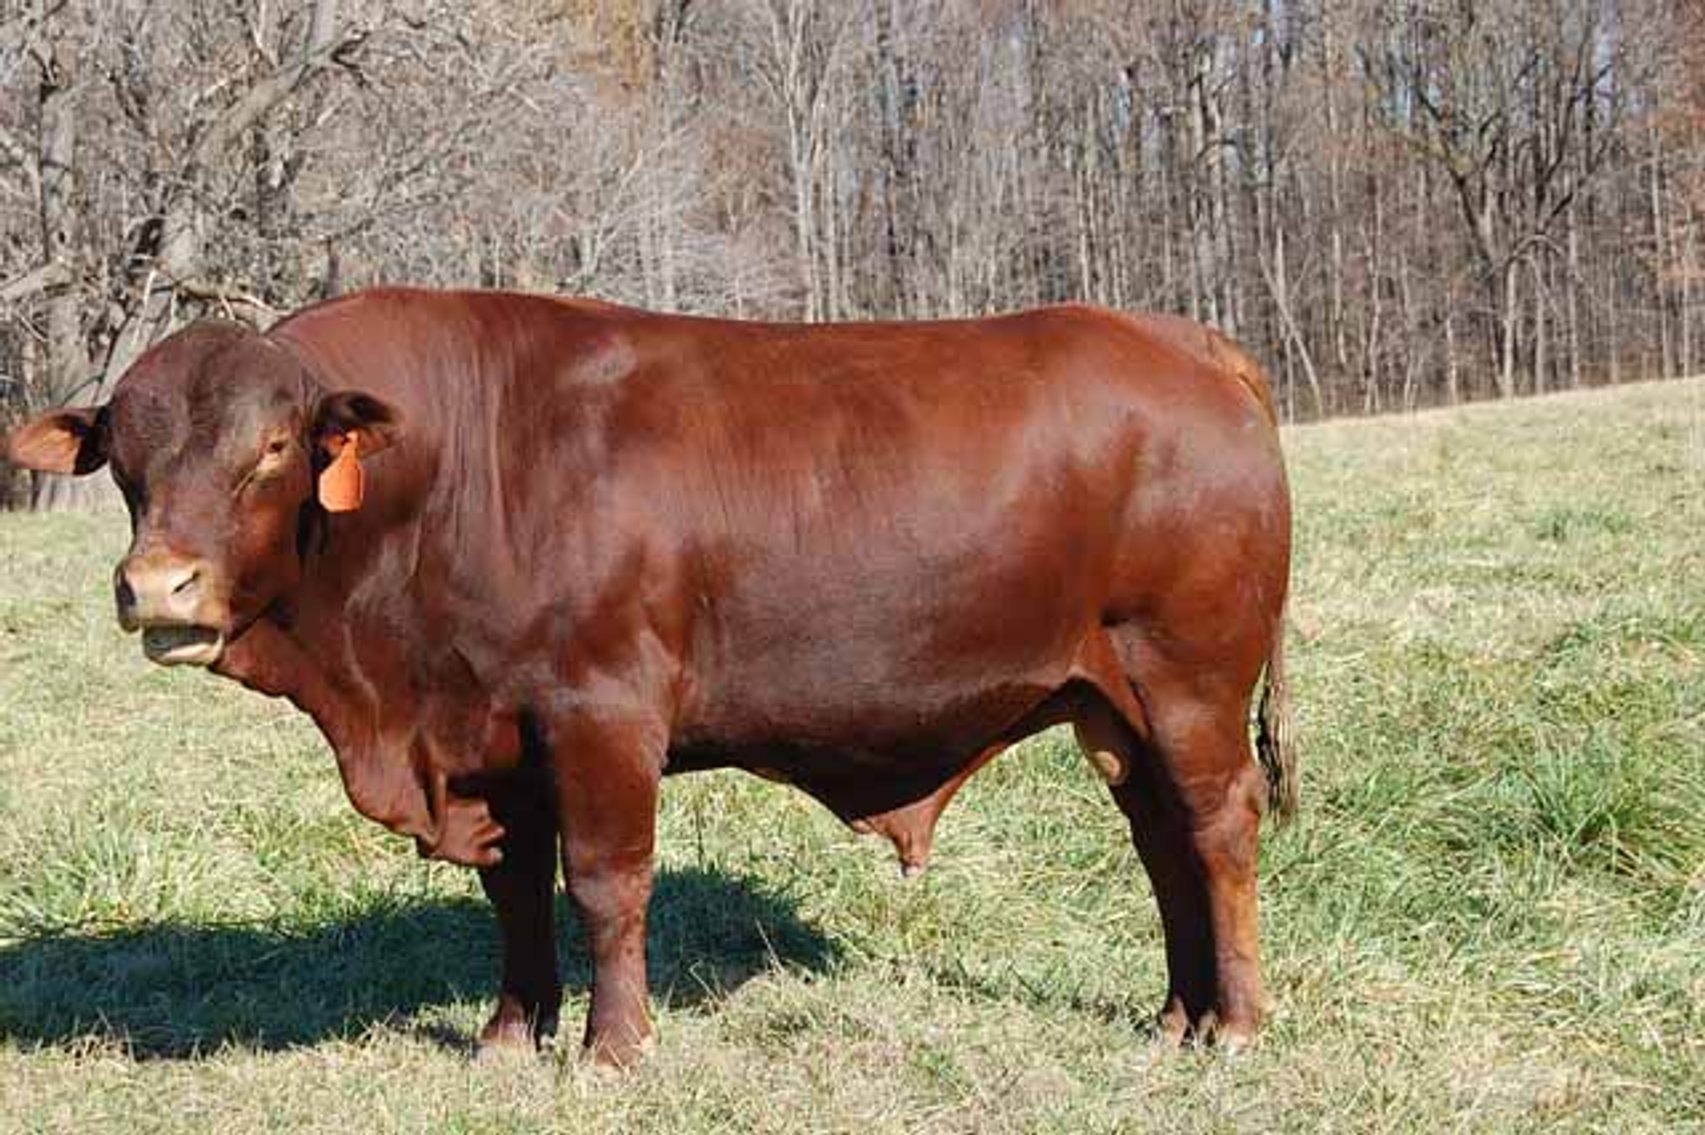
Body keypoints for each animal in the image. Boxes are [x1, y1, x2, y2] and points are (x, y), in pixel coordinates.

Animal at [4, 287, 1295, 1065]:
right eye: (124, 459)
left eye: (271, 448)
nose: (157, 587)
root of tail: (1181, 340)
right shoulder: (491, 738)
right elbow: (516, 893)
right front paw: (510, 1034)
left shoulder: (601, 712)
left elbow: (606, 884)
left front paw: (611, 1047)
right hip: (1110, 703)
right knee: (1162, 842)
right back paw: (1176, 1014)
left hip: (1186, 678)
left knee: (1217, 828)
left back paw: (1235, 1022)